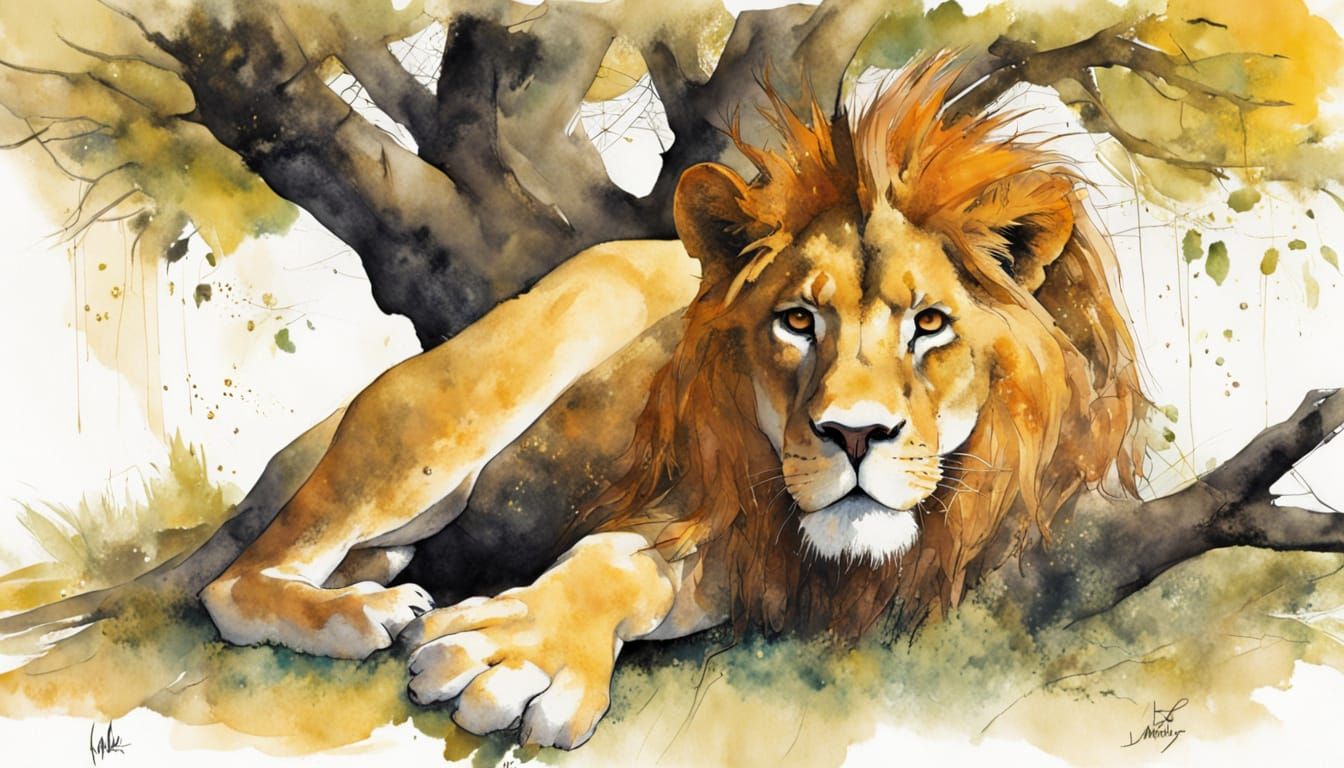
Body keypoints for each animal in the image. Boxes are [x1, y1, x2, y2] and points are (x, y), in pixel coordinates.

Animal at [196, 53, 1145, 749]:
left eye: (931, 324)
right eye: (797, 319)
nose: (853, 435)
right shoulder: (727, 500)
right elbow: (617, 556)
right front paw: (520, 649)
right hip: (500, 369)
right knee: (233, 585)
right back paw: (366, 612)